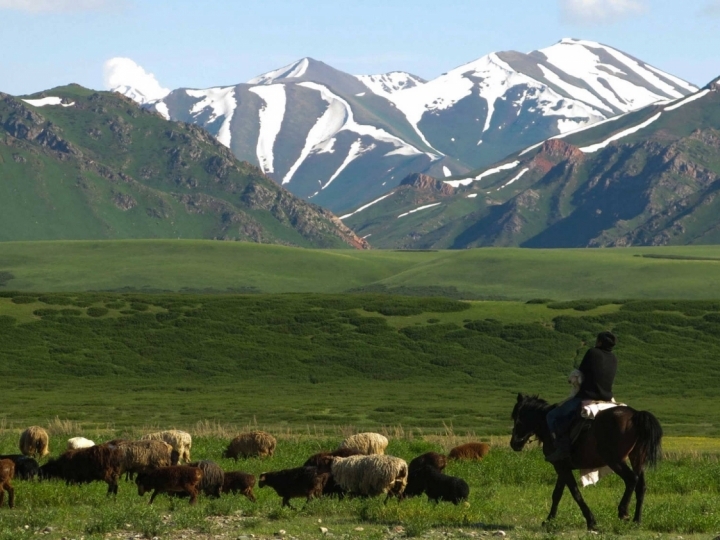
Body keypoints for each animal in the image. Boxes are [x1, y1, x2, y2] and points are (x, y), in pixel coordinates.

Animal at [510, 394, 660, 528]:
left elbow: (575, 493)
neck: (547, 426)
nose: (514, 444)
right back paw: (637, 521)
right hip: (637, 458)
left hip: (615, 460)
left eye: (517, 418)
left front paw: (591, 521)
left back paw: (623, 511)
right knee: (641, 486)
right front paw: (549, 520)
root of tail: (635, 414)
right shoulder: (563, 467)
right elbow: (557, 494)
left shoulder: (561, 467)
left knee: (631, 479)